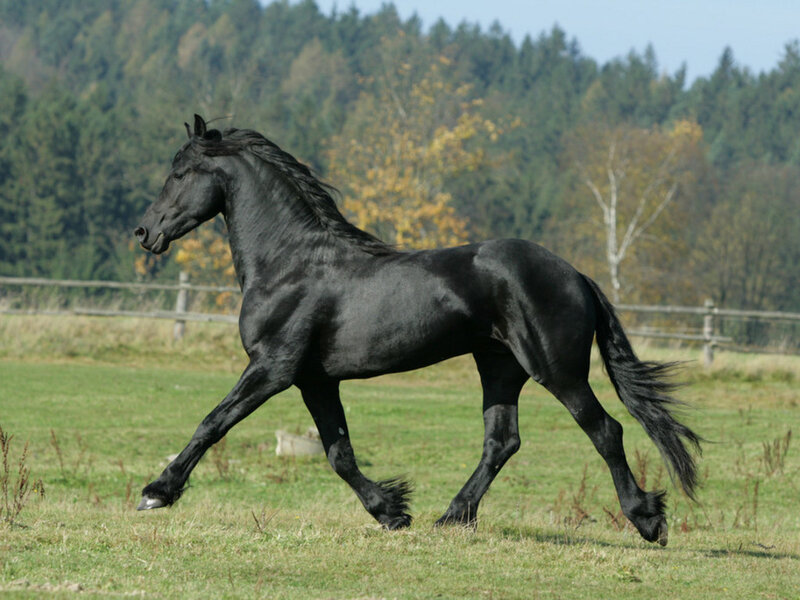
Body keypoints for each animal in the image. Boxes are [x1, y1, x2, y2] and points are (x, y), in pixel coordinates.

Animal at [133, 114, 701, 545]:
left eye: (180, 173)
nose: (145, 232)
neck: (290, 263)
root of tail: (576, 274)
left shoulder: (273, 368)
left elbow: (213, 422)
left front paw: (157, 492)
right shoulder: (315, 379)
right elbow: (339, 453)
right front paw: (392, 511)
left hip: (558, 372)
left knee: (605, 431)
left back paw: (647, 520)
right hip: (499, 367)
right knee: (502, 441)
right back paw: (451, 517)